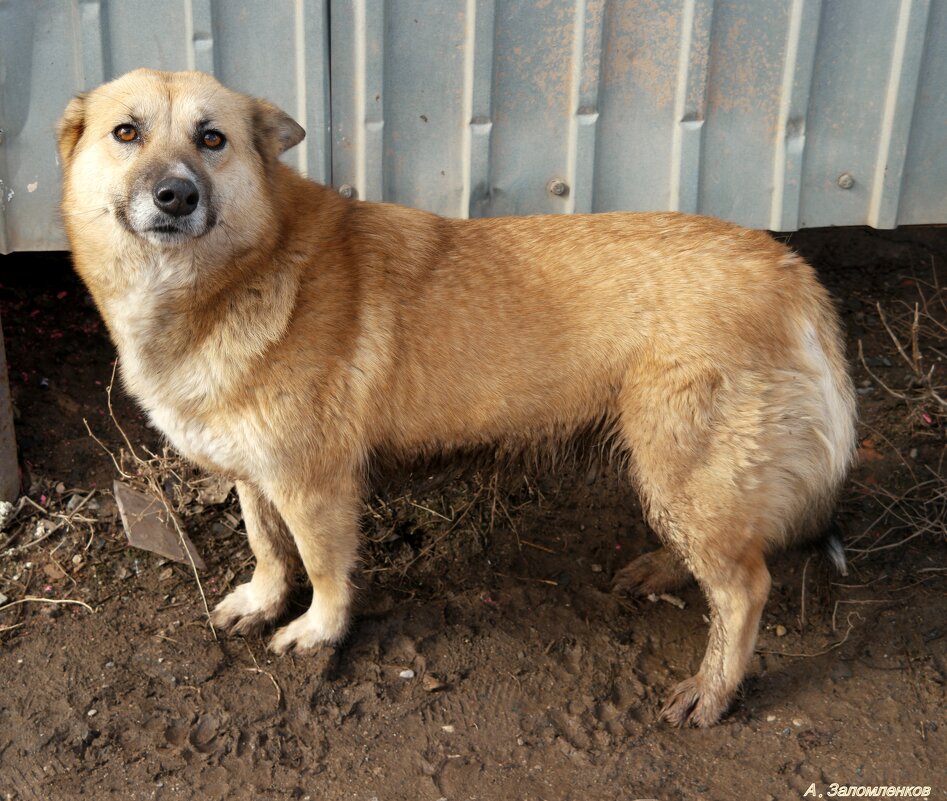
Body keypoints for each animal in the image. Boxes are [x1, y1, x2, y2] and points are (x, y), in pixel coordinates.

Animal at [59, 69, 860, 724]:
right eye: (126, 132)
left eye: (212, 138)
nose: (176, 195)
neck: (242, 272)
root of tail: (790, 266)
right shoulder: (257, 476)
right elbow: (268, 551)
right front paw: (261, 601)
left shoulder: (314, 484)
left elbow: (321, 569)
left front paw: (319, 631)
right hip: (676, 476)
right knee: (721, 554)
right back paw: (665, 569)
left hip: (681, 467)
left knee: (744, 585)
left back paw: (714, 688)